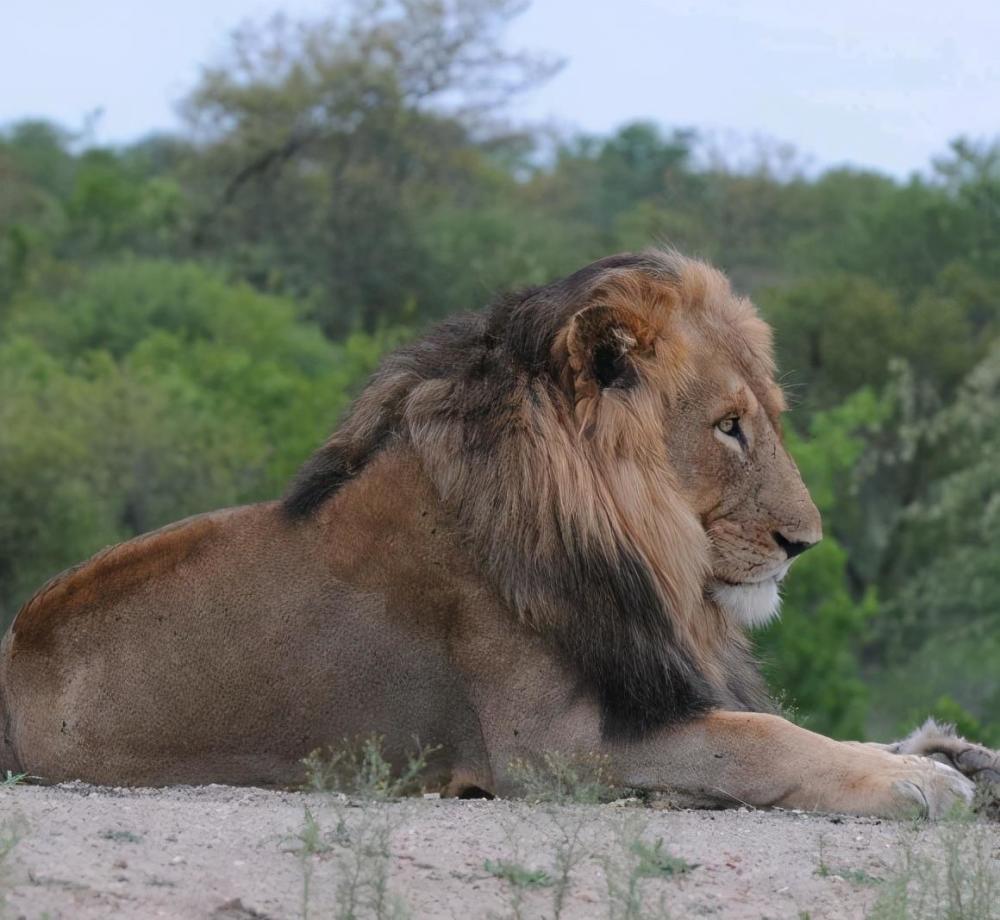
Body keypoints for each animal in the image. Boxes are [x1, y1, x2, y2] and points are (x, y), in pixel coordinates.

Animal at [0, 248, 984, 816]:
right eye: (729, 427)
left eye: (764, 419)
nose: (804, 542)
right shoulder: (546, 749)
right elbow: (754, 739)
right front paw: (915, 781)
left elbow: (779, 723)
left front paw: (946, 751)